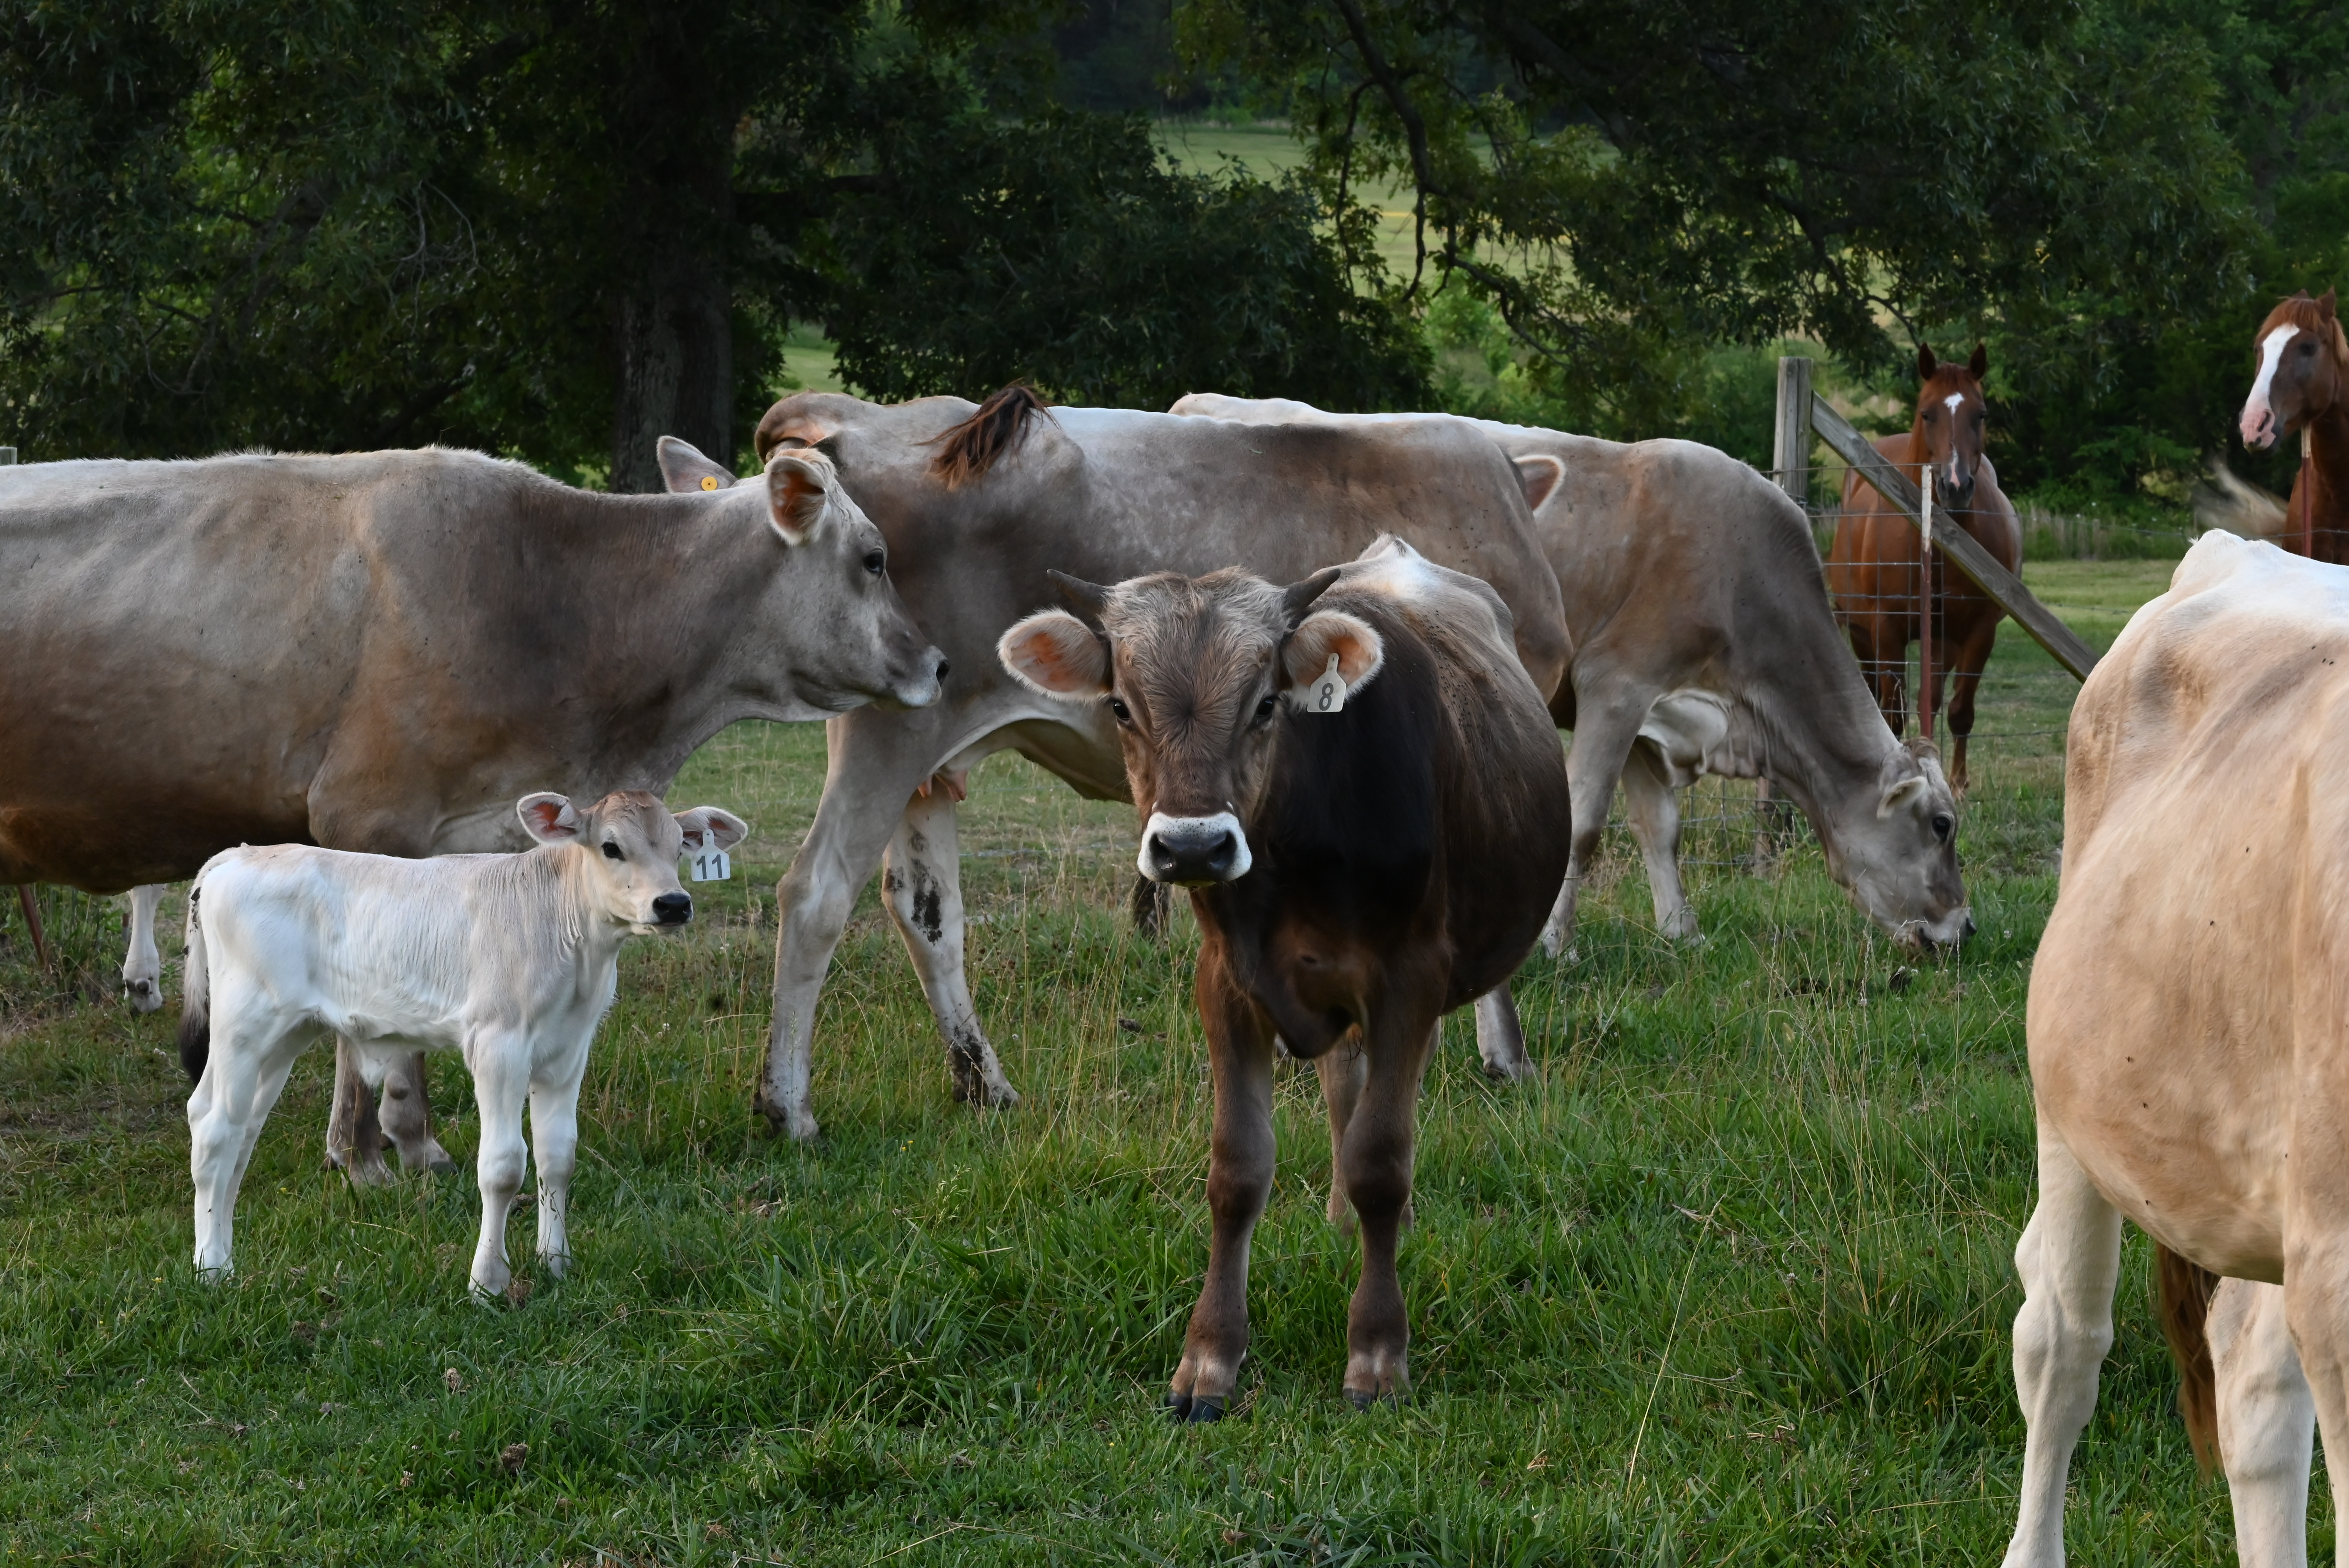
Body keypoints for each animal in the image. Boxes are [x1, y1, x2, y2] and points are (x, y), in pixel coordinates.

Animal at [1, 444, 944, 1180]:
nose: (938, 663)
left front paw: (392, 1145)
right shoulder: (368, 821)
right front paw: (377, 1154)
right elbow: (369, 1023)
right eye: (873, 557)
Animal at [180, 791, 747, 1299]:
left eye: (677, 846)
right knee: (215, 1132)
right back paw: (212, 1270)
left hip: (283, 1037)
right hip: (244, 1027)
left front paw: (556, 1262)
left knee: (237, 1132)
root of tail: (237, 856)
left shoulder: (567, 1052)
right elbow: (502, 1167)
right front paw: (488, 1281)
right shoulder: (498, 1044)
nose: (673, 903)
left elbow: (557, 1156)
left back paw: (224, 1252)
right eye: (611, 847)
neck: (574, 948)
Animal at [685, 385, 1572, 1140]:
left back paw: (982, 1081)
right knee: (815, 894)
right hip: (887, 736)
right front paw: (1501, 1055)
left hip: (923, 756)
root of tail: (855, 417)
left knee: (925, 911)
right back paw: (787, 1105)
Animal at [997, 537, 1571, 1417]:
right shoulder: (1225, 985)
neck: (1295, 851)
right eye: (1122, 707)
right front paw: (1208, 1361)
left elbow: (1382, 1159)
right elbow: (1238, 1170)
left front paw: (1377, 1352)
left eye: (1267, 704)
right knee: (1342, 1082)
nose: (1191, 846)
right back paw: (1337, 1216)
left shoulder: (1409, 977)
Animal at [1168, 394, 1971, 976]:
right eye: (1941, 825)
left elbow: (1661, 828)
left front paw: (1681, 932)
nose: (1962, 930)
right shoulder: (1618, 681)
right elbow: (1583, 823)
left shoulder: (1653, 717)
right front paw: (1556, 947)